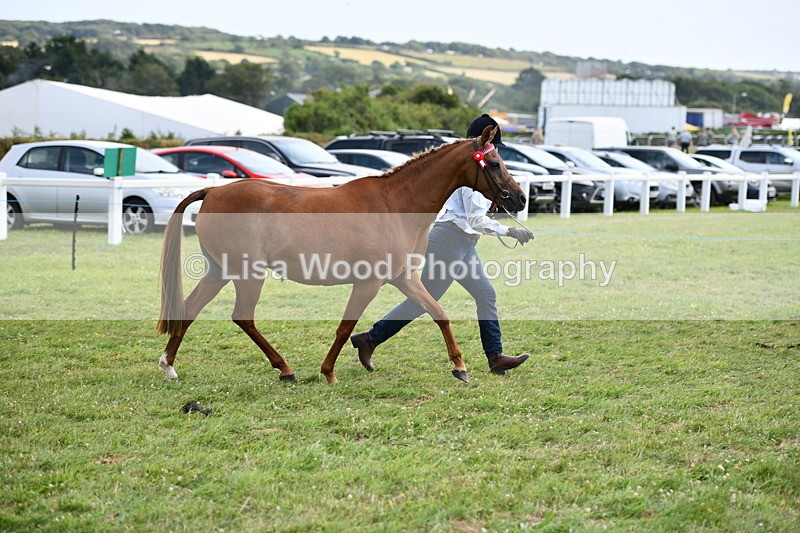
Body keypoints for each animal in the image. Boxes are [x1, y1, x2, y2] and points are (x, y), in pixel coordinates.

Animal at [157, 125, 526, 384]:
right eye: (495, 163)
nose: (519, 198)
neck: (395, 205)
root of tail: (213, 191)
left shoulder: (404, 278)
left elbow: (438, 313)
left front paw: (460, 367)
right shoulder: (369, 283)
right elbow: (345, 326)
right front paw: (328, 372)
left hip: (219, 271)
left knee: (189, 310)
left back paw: (169, 366)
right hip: (247, 274)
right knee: (242, 317)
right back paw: (285, 369)